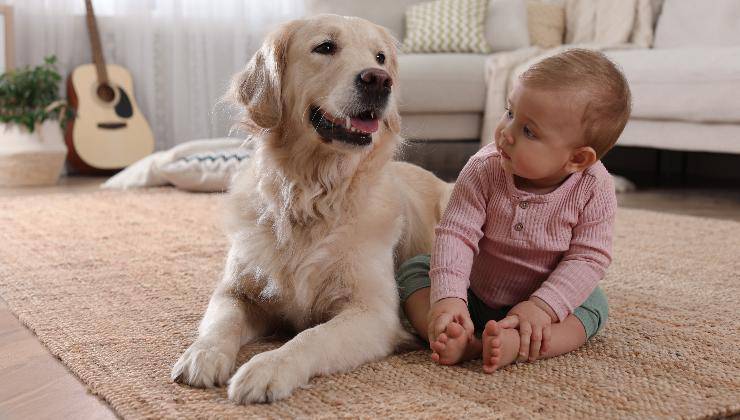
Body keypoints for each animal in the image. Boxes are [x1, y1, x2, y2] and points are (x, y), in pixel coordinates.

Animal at [172, 13, 450, 404]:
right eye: (325, 47)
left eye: (380, 57)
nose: (380, 80)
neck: (311, 196)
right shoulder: (235, 290)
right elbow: (220, 321)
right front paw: (203, 354)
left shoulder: (374, 313)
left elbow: (312, 337)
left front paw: (267, 368)